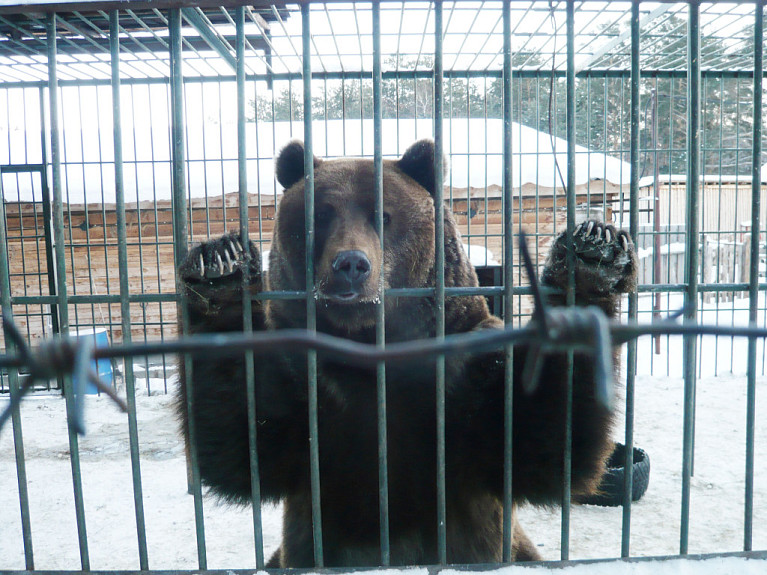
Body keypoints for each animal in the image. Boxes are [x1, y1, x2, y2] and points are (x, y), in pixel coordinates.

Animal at [176, 139, 637, 567]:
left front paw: (592, 253)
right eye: (320, 215)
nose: (350, 265)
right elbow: (245, 437)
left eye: (382, 215)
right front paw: (221, 267)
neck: (370, 347)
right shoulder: (309, 399)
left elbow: (542, 440)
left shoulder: (463, 385)